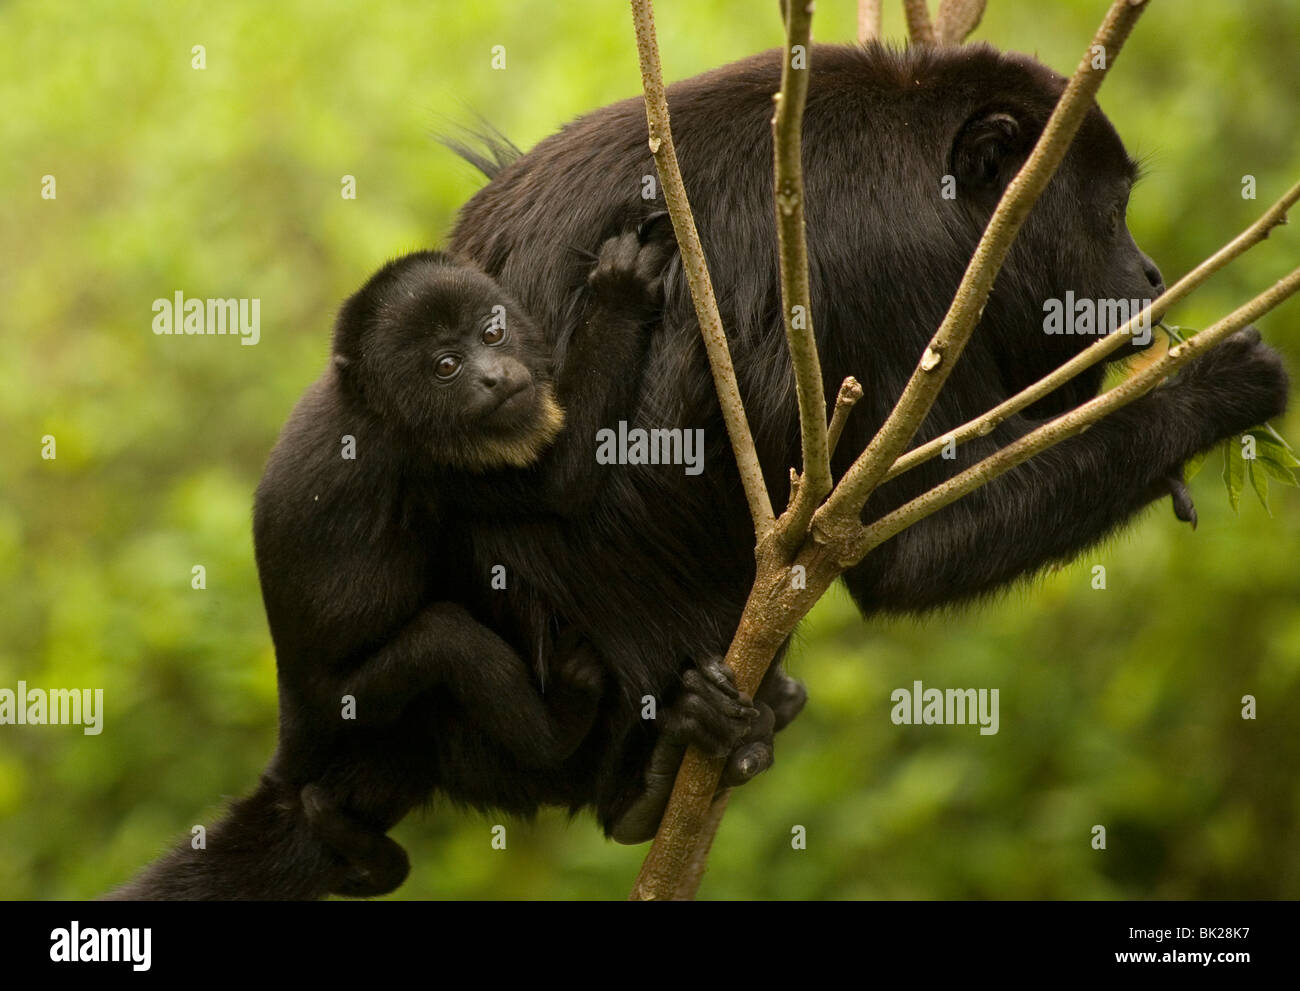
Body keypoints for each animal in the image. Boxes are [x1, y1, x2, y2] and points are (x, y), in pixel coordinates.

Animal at [449, 42, 1289, 837]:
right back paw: (664, 759)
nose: (1151, 274)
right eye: (1111, 214)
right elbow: (910, 546)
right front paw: (1215, 387)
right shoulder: (883, 266)